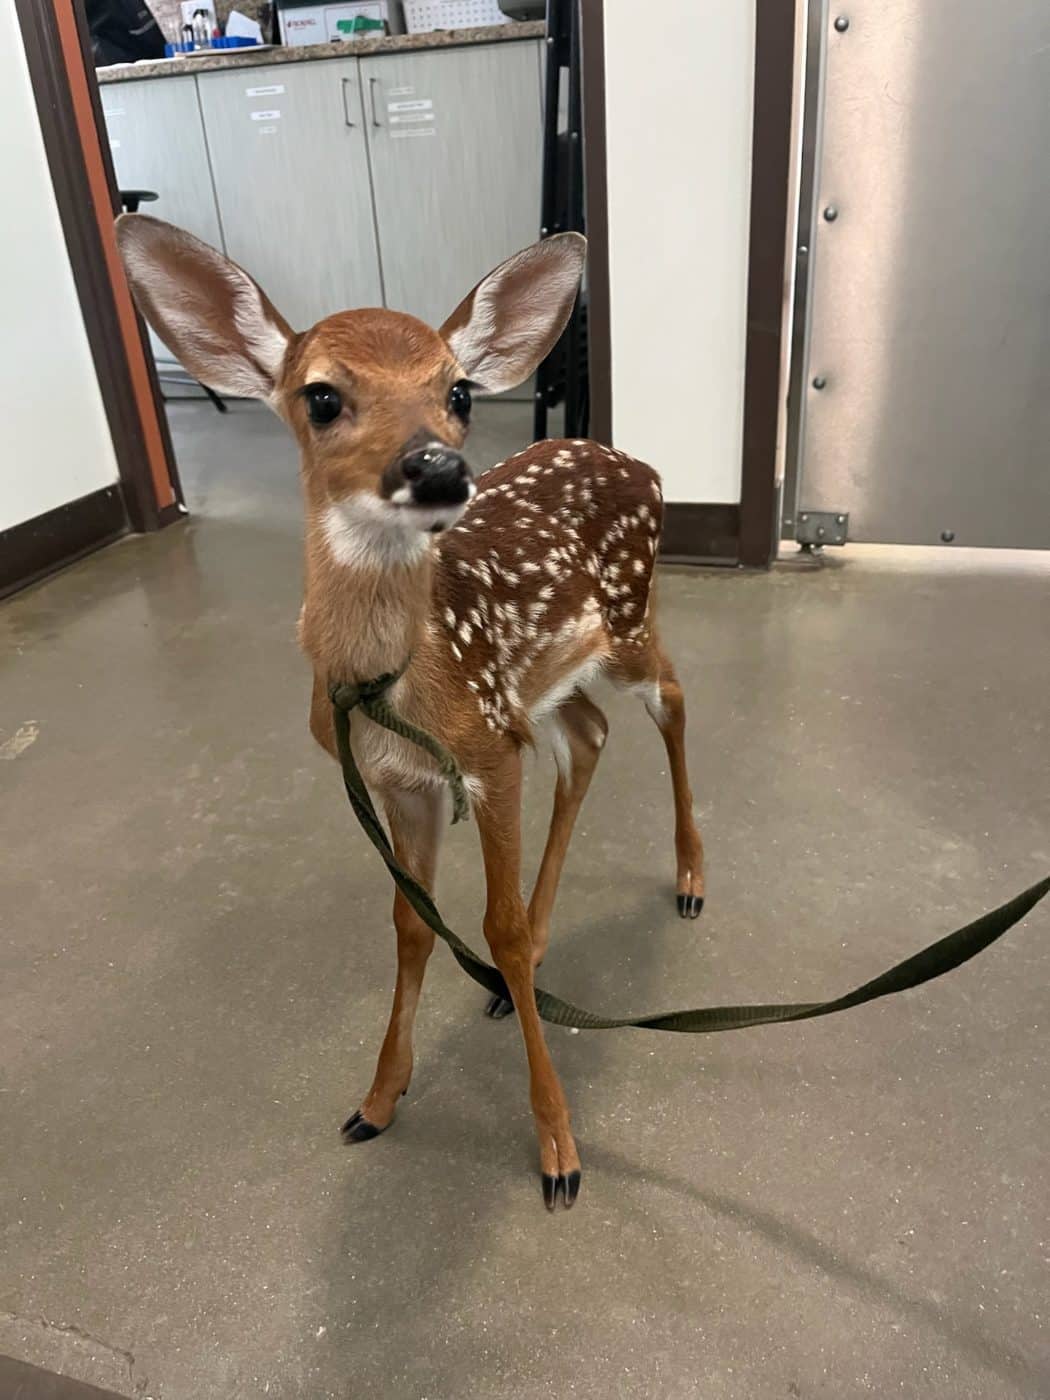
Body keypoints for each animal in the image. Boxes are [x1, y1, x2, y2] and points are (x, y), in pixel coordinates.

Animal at [115, 214, 705, 1210]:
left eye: (457, 388)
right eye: (320, 395)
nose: (436, 465)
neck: (387, 678)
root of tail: (637, 462)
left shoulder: (487, 756)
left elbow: (494, 926)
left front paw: (558, 1150)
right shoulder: (406, 779)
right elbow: (410, 922)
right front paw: (379, 1099)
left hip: (626, 620)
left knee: (673, 698)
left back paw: (691, 879)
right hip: (543, 680)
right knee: (589, 737)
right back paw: (527, 971)